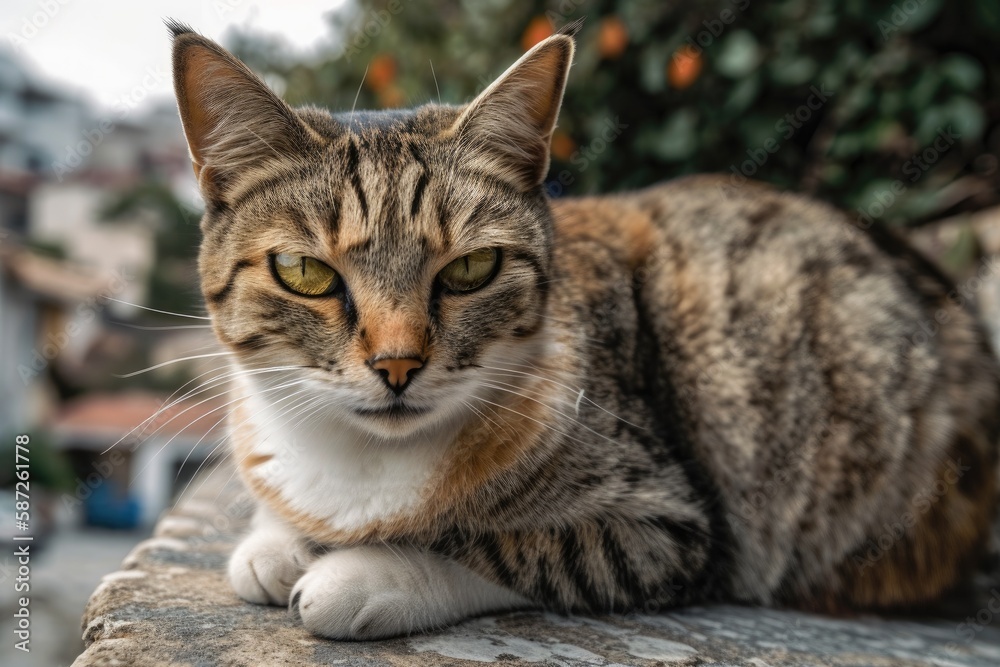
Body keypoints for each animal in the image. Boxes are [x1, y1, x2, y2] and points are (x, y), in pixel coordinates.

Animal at [168, 18, 996, 640]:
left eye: (472, 270)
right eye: (306, 273)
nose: (398, 364)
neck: (363, 462)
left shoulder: (675, 526)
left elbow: (508, 545)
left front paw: (360, 574)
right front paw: (272, 543)